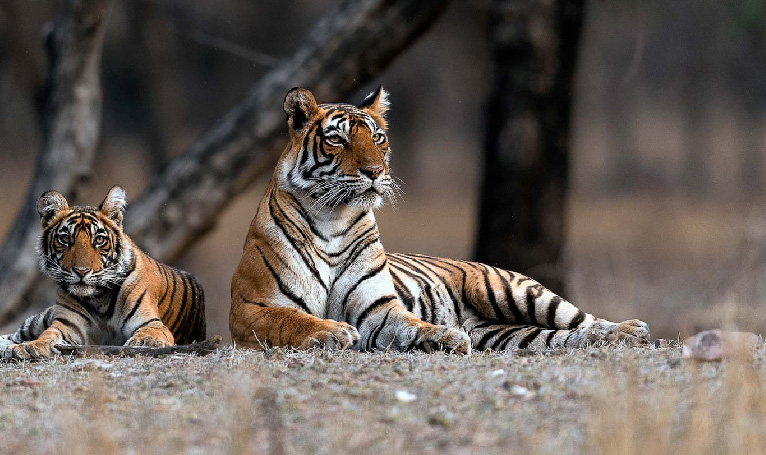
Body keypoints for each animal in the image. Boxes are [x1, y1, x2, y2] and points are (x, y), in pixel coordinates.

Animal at [0, 186, 206, 360]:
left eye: (99, 240)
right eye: (65, 239)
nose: (81, 271)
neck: (98, 299)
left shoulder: (150, 322)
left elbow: (149, 334)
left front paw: (144, 342)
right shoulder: (68, 325)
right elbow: (48, 335)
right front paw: (27, 347)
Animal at [231, 87, 652, 354]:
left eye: (378, 138)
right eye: (338, 140)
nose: (375, 172)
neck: (333, 217)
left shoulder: (376, 306)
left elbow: (410, 323)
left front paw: (445, 336)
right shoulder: (251, 308)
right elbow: (292, 320)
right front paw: (336, 333)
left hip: (515, 291)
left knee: (583, 320)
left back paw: (631, 330)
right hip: (504, 333)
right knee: (560, 337)